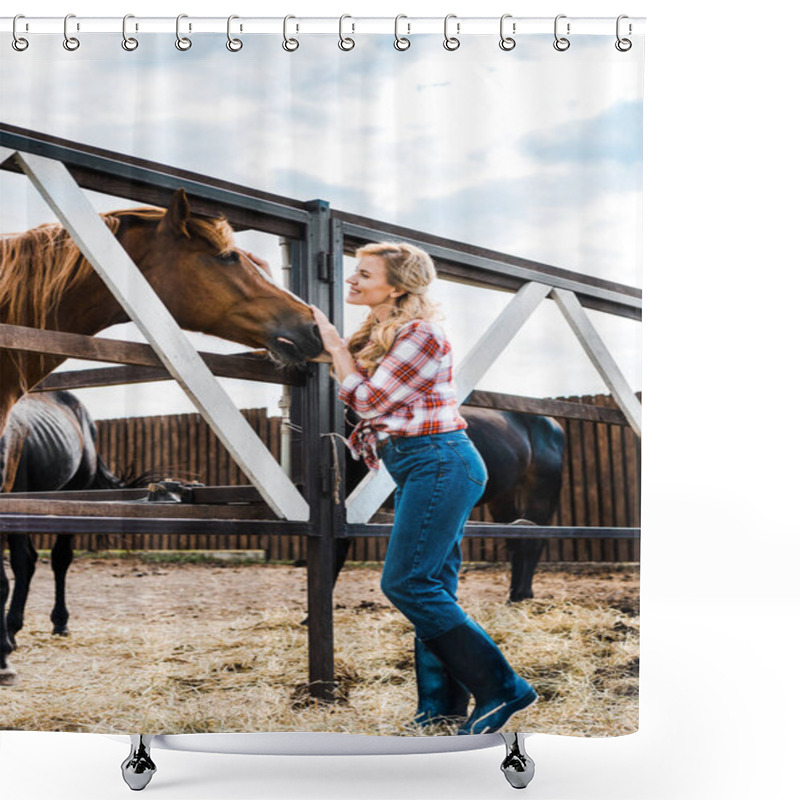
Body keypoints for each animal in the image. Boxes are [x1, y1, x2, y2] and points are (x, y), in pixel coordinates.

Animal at [338, 410, 564, 604]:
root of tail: (553, 424)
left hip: (540, 489)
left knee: (533, 538)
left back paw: (522, 594)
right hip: (503, 496)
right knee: (516, 535)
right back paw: (514, 595)